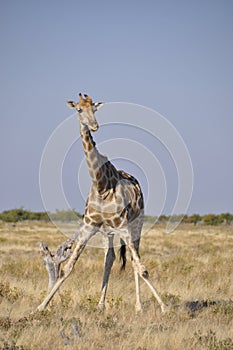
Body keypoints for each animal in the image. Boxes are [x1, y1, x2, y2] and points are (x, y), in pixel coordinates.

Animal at [37, 93, 167, 314]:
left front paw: (164, 306)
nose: (94, 125)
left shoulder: (123, 226)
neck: (101, 186)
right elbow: (67, 268)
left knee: (134, 259)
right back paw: (100, 304)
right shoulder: (89, 226)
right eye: (79, 109)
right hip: (108, 232)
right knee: (110, 258)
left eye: (95, 109)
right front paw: (40, 306)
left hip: (136, 224)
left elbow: (142, 268)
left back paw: (138, 306)